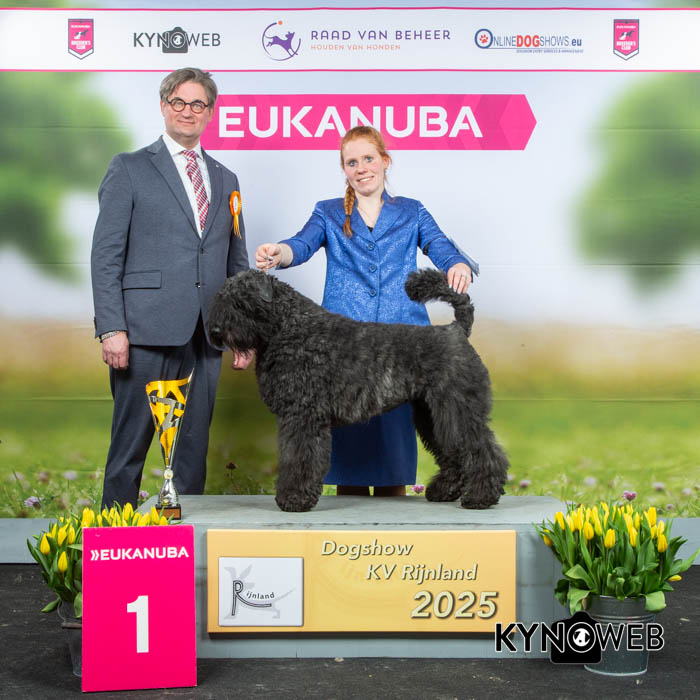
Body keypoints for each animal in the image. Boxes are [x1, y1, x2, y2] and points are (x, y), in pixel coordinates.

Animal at [207, 269, 508, 513]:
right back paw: (444, 491)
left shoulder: (303, 418)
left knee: (483, 450)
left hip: (458, 411)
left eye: (243, 301)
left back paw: (480, 498)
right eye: (220, 299)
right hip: (432, 416)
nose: (216, 330)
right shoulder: (297, 417)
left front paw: (294, 500)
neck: (289, 327)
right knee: (452, 452)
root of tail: (457, 330)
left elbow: (299, 458)